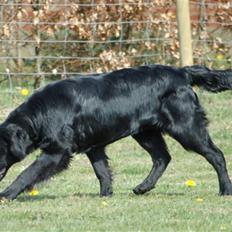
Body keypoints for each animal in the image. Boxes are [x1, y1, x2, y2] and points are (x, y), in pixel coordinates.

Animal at [0, 65, 232, 199]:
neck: (40, 113)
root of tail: (181, 72)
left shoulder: (57, 151)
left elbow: (27, 173)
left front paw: (7, 194)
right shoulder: (93, 147)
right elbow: (102, 172)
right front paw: (106, 195)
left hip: (186, 127)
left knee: (216, 155)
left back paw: (225, 190)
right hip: (146, 133)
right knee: (162, 158)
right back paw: (143, 187)